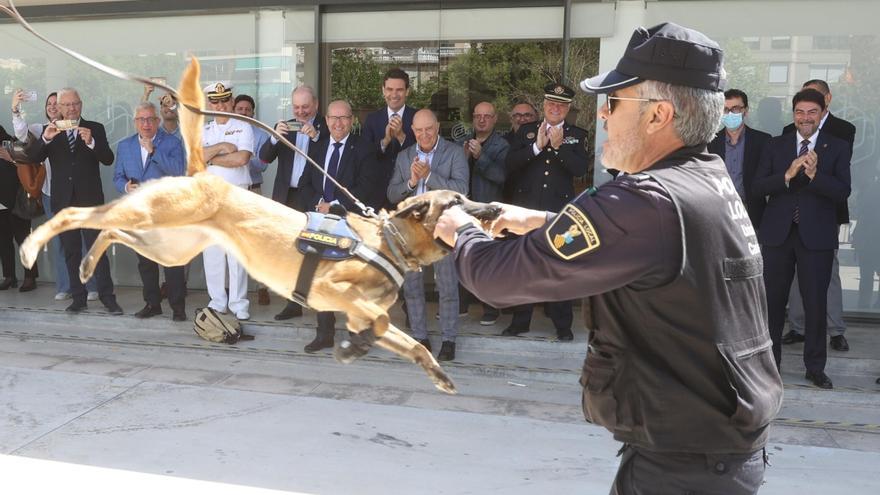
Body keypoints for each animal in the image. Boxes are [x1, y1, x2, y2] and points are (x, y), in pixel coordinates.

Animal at [17, 57, 498, 396]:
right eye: (458, 202)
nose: (495, 207)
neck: (389, 241)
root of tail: (205, 175)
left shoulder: (362, 310)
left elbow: (409, 340)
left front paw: (429, 369)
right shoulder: (340, 292)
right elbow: (379, 323)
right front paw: (354, 346)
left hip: (167, 244)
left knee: (110, 232)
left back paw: (84, 267)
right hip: (153, 217)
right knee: (76, 216)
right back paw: (33, 247)